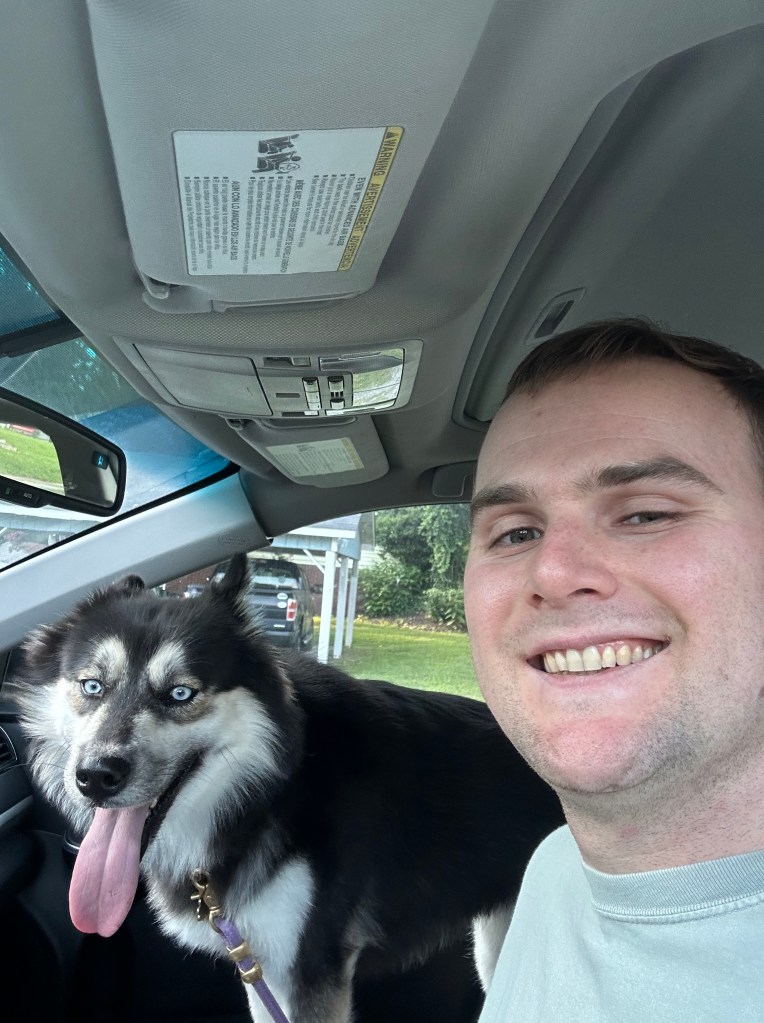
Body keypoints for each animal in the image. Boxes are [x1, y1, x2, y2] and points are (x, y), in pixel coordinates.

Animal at [11, 553, 563, 1023]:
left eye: (180, 694)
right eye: (92, 686)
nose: (95, 778)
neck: (274, 789)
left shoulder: (311, 968)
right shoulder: (259, 961)